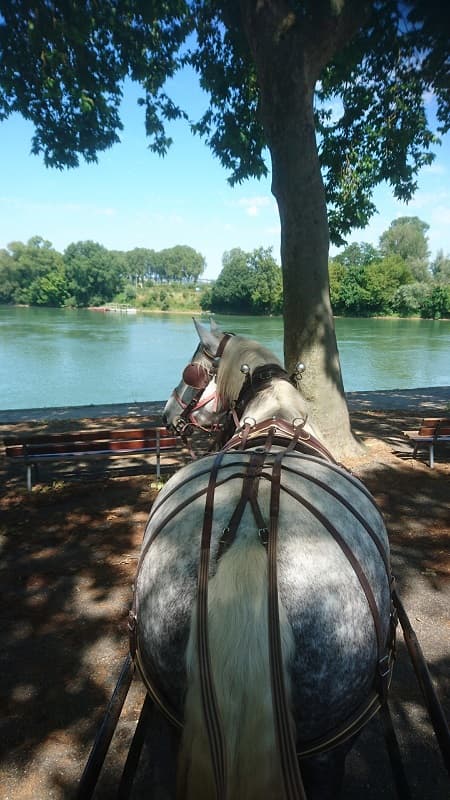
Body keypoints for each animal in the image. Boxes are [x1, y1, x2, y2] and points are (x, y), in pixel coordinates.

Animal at [132, 319, 395, 799]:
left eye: (191, 369)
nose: (167, 415)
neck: (275, 418)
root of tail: (247, 534)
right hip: (331, 745)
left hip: (170, 719)